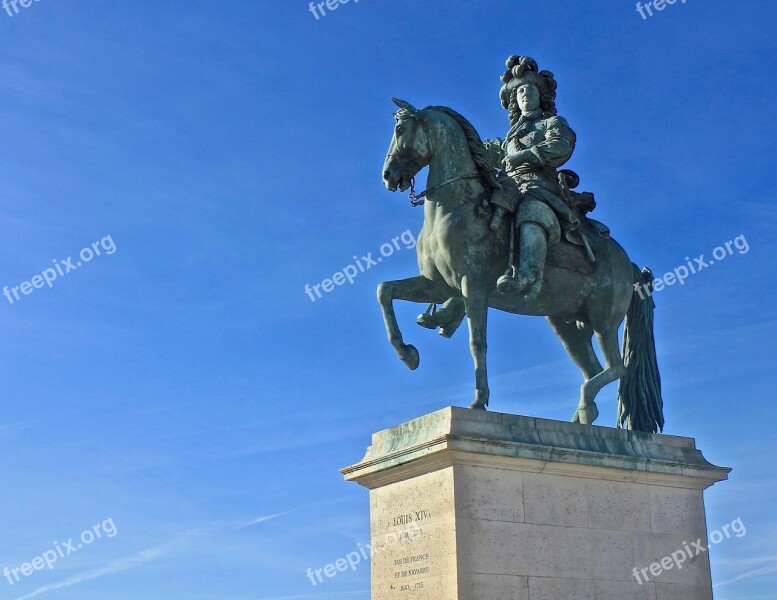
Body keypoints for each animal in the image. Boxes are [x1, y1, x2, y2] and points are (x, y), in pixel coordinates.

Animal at [376, 101, 660, 434]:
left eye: (399, 129)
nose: (388, 175)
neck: (456, 206)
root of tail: (629, 265)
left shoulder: (473, 286)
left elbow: (478, 342)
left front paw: (479, 401)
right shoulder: (437, 285)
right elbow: (385, 291)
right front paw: (408, 354)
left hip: (603, 319)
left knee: (617, 367)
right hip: (566, 324)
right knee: (594, 370)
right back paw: (579, 419)